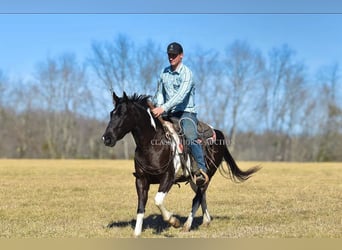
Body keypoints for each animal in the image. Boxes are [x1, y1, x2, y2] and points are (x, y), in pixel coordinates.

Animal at [101, 92, 260, 236]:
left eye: (123, 114)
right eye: (111, 114)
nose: (106, 138)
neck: (152, 144)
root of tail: (218, 132)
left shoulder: (168, 178)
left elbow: (158, 200)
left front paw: (174, 221)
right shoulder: (141, 180)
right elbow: (141, 206)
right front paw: (137, 233)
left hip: (208, 174)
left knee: (197, 198)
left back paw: (187, 225)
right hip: (196, 179)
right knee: (202, 195)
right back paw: (206, 220)